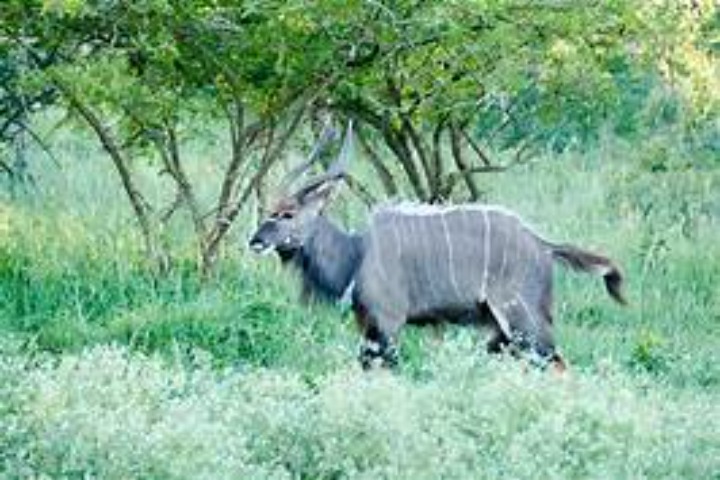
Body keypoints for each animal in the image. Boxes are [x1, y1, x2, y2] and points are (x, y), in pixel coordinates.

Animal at [248, 123, 625, 371]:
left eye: (287, 214)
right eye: (269, 210)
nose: (255, 241)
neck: (356, 254)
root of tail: (544, 246)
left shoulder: (388, 324)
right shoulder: (368, 326)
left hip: (524, 322)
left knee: (558, 364)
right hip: (502, 334)